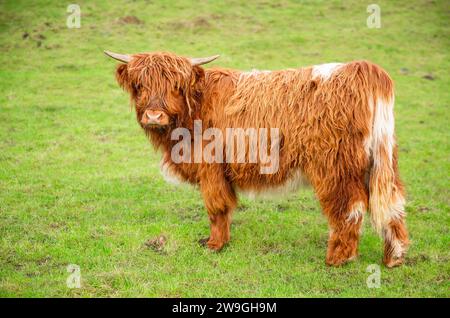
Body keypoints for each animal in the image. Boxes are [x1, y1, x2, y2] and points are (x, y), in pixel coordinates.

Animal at [104, 51, 408, 268]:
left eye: (176, 86)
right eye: (139, 84)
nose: (154, 115)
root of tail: (361, 68)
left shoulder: (210, 168)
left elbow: (216, 207)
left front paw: (214, 245)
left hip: (335, 166)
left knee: (349, 208)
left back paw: (338, 258)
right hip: (380, 159)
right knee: (392, 202)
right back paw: (394, 257)